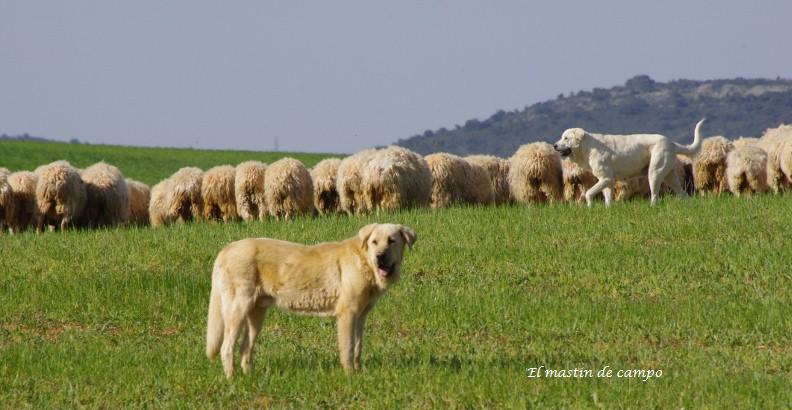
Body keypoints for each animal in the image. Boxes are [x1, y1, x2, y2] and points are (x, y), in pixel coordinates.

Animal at [552, 120, 704, 207]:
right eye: (562, 137)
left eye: (566, 138)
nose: (554, 146)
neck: (587, 146)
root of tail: (672, 143)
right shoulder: (607, 181)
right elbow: (608, 198)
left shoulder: (607, 179)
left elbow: (588, 193)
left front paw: (589, 206)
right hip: (670, 176)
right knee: (684, 194)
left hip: (654, 173)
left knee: (655, 197)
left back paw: (652, 207)